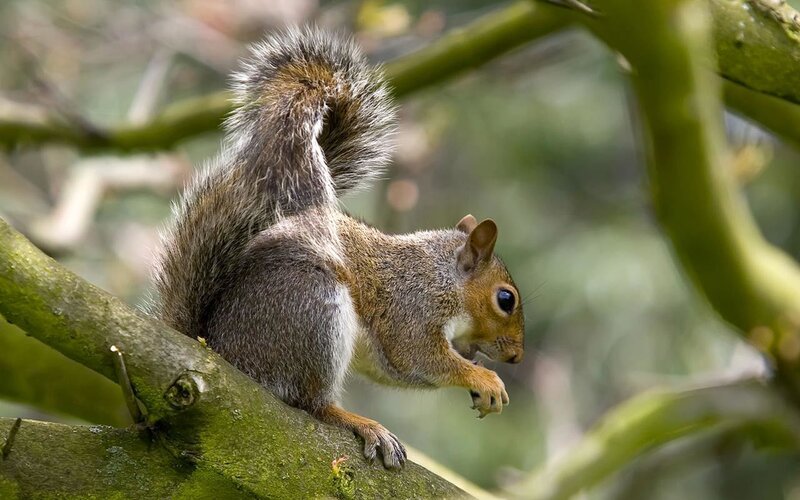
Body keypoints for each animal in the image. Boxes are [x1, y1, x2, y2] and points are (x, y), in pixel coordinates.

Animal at [152, 27, 525, 469]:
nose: (517, 357)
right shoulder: (412, 308)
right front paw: (483, 377)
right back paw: (358, 421)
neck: (441, 275)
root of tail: (219, 349)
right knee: (310, 403)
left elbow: (399, 369)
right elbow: (418, 357)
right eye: (505, 299)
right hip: (313, 310)